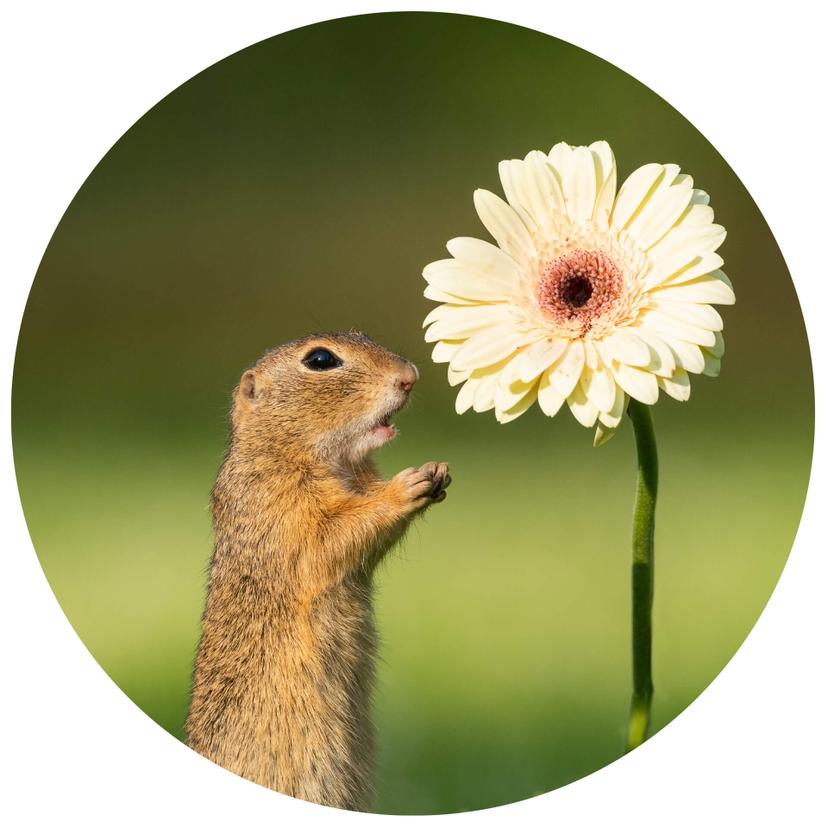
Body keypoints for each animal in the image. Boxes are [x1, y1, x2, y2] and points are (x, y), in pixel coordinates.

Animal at [185, 332, 451, 811]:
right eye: (321, 360)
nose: (410, 376)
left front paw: (436, 472)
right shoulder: (280, 506)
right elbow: (330, 540)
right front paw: (408, 485)